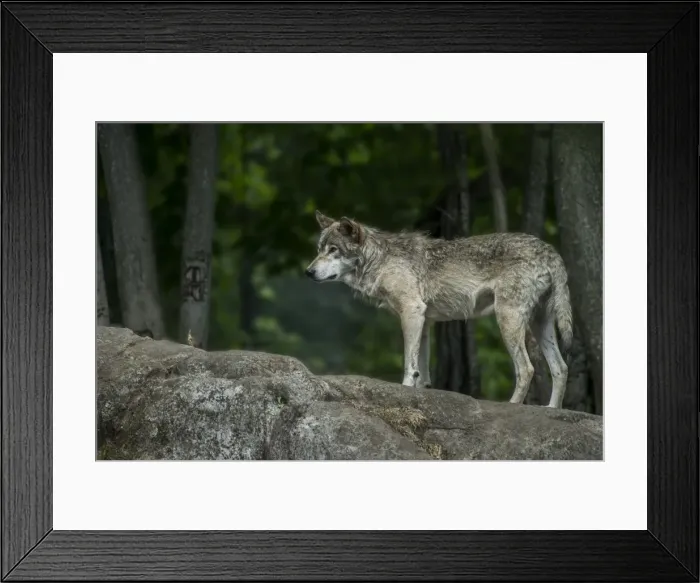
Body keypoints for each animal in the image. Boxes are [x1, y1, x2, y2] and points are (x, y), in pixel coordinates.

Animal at [305, 210, 574, 408]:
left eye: (333, 250)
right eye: (319, 249)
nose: (308, 272)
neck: (380, 260)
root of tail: (550, 250)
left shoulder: (412, 311)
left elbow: (409, 364)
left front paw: (405, 389)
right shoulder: (424, 321)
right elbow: (422, 372)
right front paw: (422, 394)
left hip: (508, 320)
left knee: (527, 369)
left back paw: (513, 405)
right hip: (540, 325)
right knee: (561, 368)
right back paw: (552, 410)